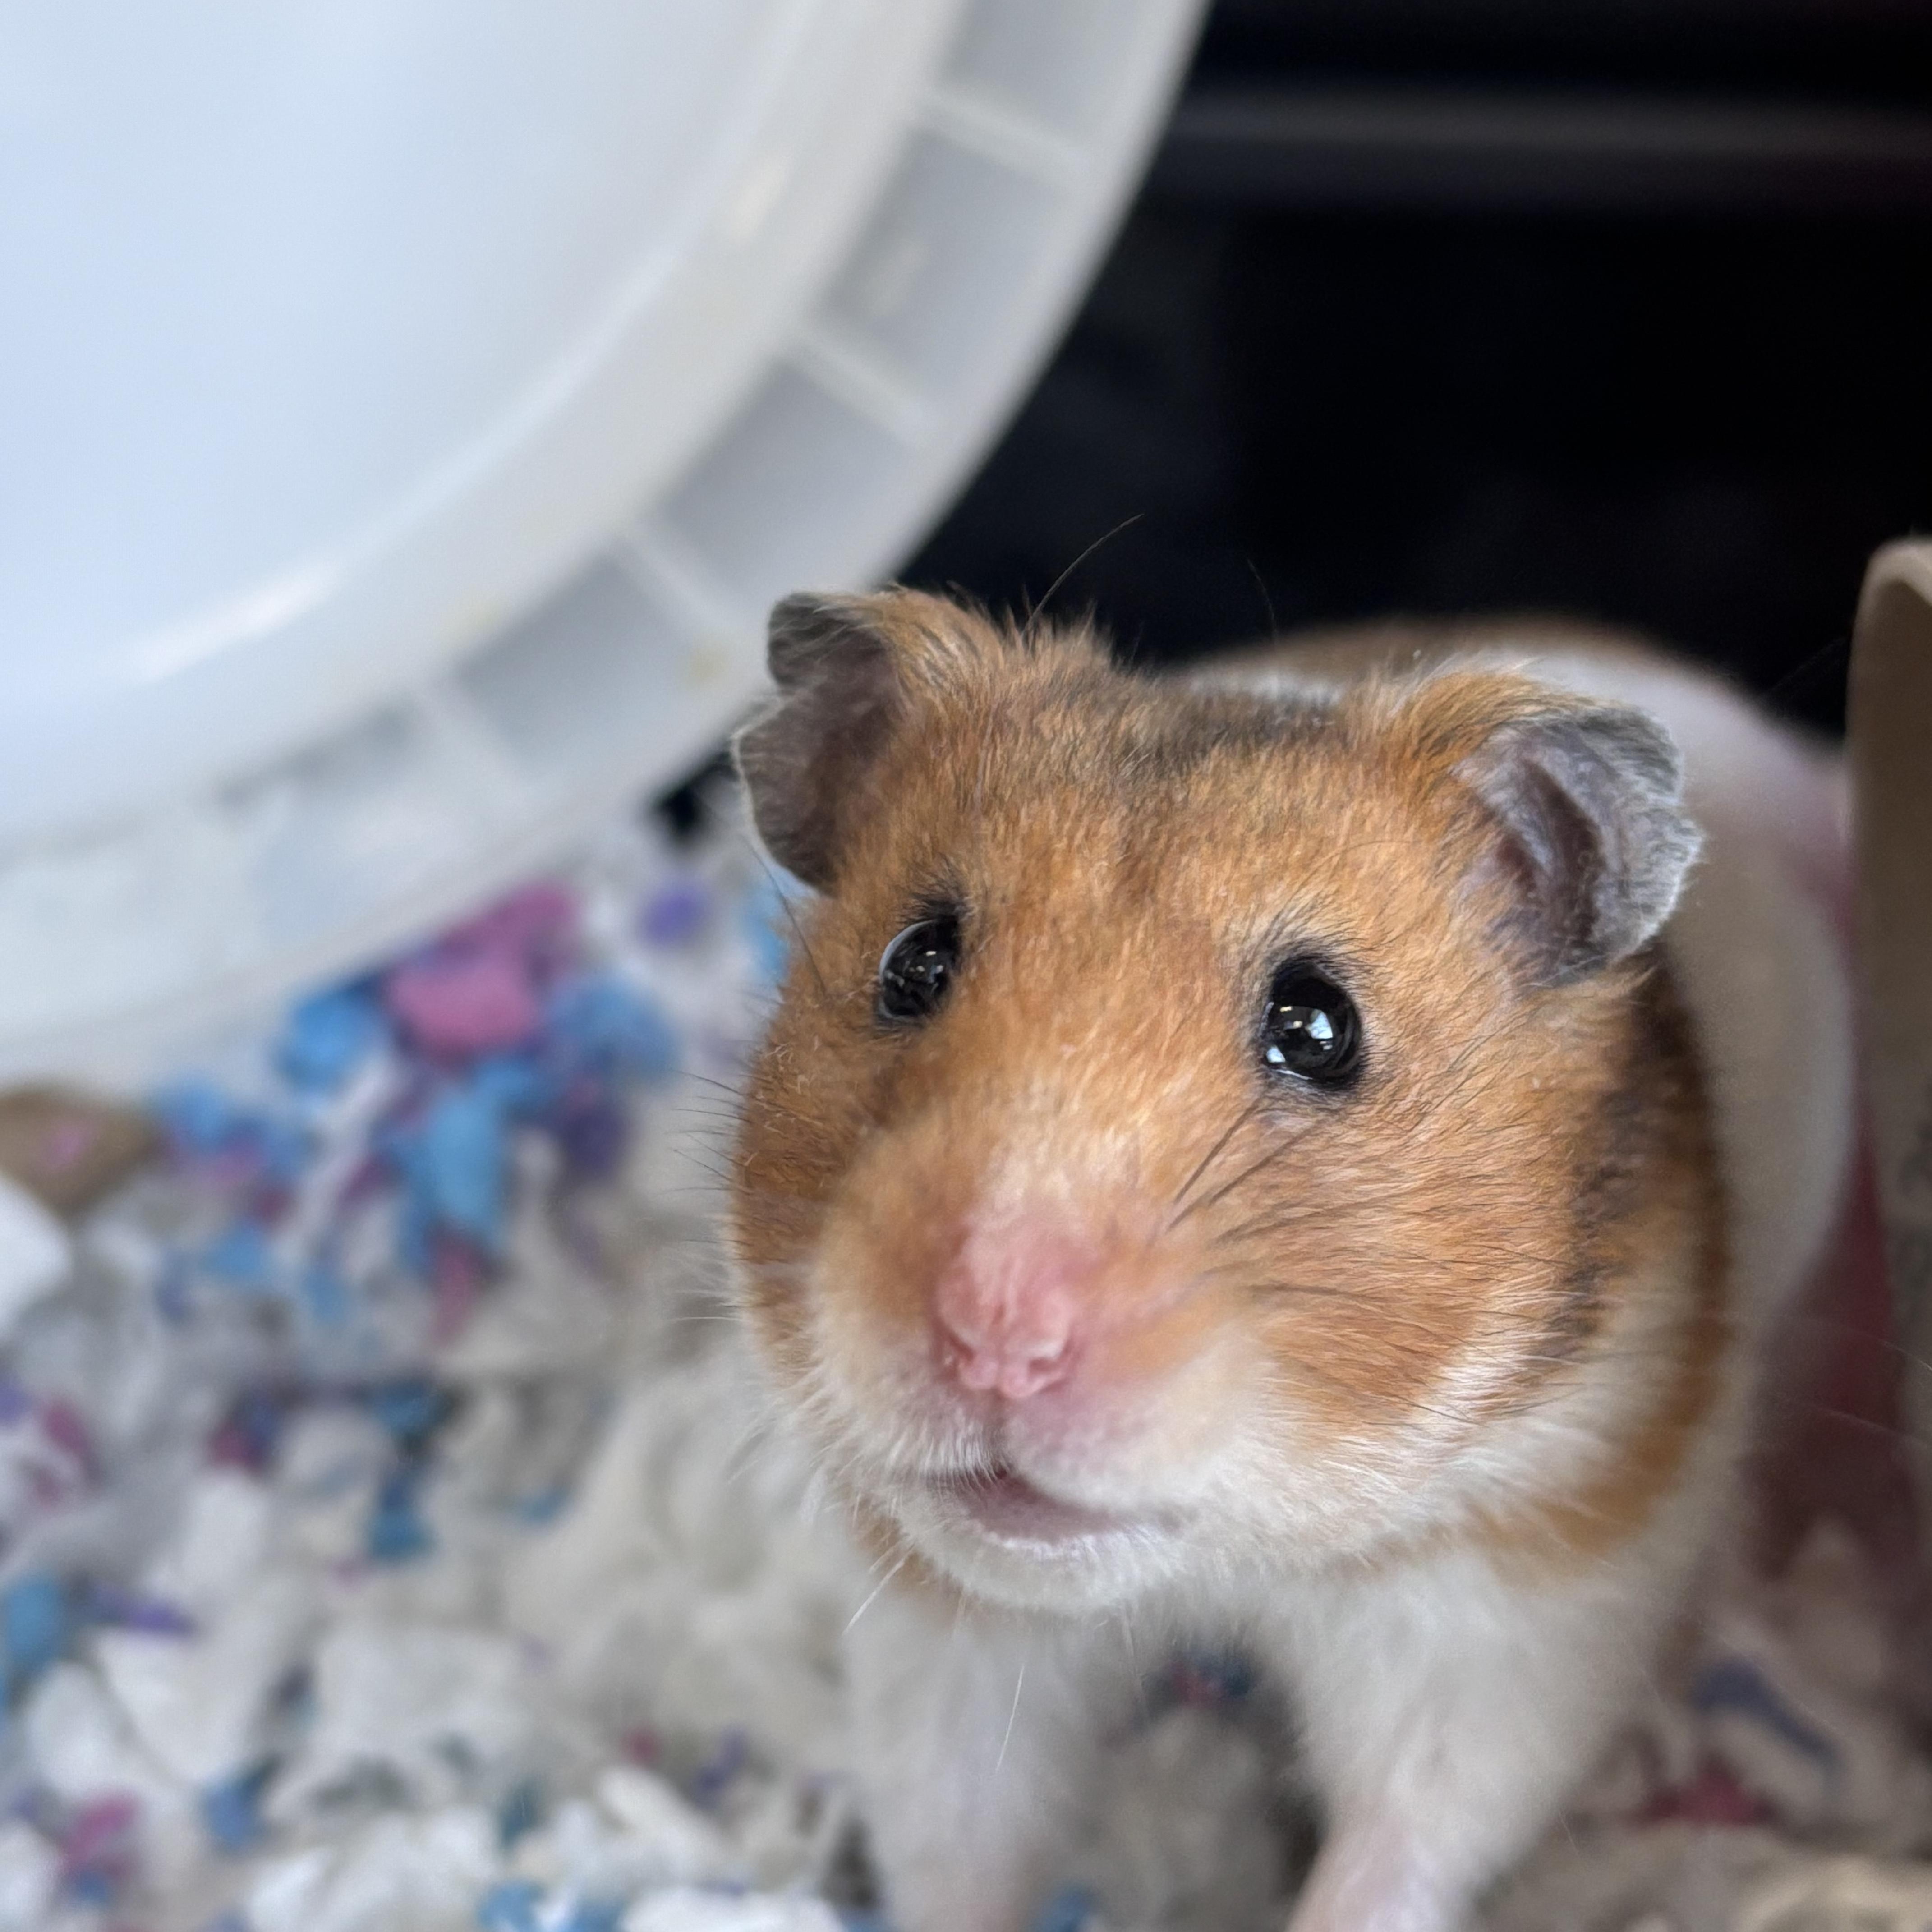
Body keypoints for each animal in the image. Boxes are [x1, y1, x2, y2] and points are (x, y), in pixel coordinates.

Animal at [727, 590, 1854, 1932]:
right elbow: (958, 1846)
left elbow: (1395, 1851)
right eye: (914, 964)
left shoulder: (1510, 1624)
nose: (995, 1332)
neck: (1228, 1551)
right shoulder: (945, 1631)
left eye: (1319, 1028)